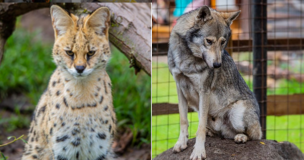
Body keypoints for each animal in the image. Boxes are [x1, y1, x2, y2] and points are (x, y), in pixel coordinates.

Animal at [167, 5, 262, 159]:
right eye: (209, 41)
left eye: (223, 42)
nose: (217, 65)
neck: (188, 58)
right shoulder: (180, 88)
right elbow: (183, 120)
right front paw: (181, 143)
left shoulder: (204, 91)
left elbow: (199, 129)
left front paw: (198, 151)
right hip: (200, 111)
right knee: (218, 132)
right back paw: (211, 132)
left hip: (237, 116)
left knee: (255, 136)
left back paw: (241, 137)